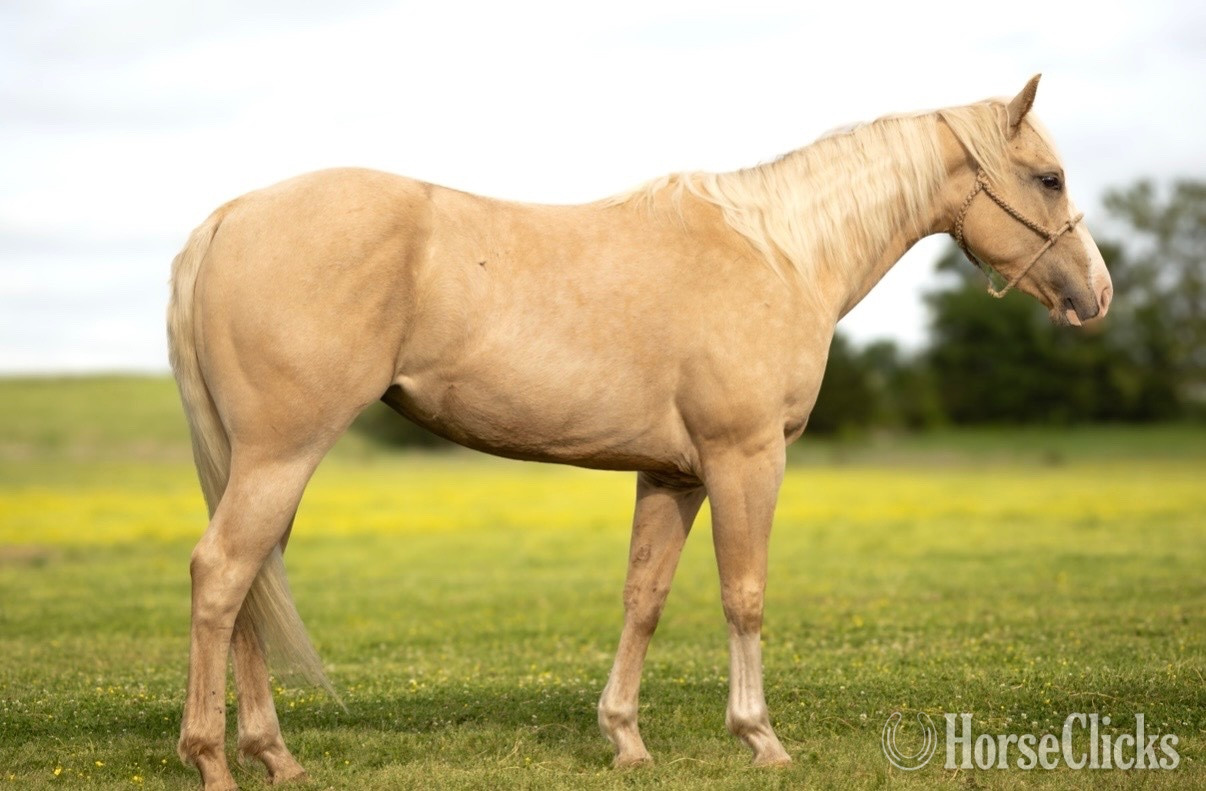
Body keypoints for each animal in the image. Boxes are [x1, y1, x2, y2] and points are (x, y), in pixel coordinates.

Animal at [168, 75, 1112, 789]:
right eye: (1049, 178)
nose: (1097, 295)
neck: (780, 252)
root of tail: (229, 216)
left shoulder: (674, 474)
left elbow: (644, 597)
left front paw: (624, 737)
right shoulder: (745, 458)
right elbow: (745, 593)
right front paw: (761, 737)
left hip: (262, 463)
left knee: (250, 582)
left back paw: (274, 755)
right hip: (283, 454)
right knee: (222, 574)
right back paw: (213, 758)